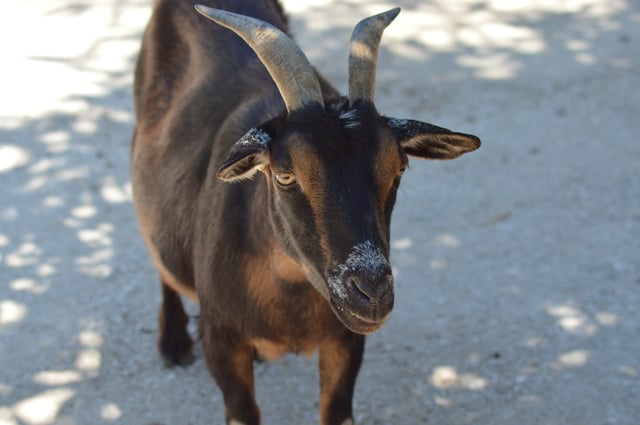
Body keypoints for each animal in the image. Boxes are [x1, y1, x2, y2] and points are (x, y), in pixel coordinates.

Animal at [130, 1, 480, 422]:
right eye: (284, 175)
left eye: (398, 169)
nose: (371, 294)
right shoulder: (221, 339)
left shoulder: (345, 339)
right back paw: (173, 342)